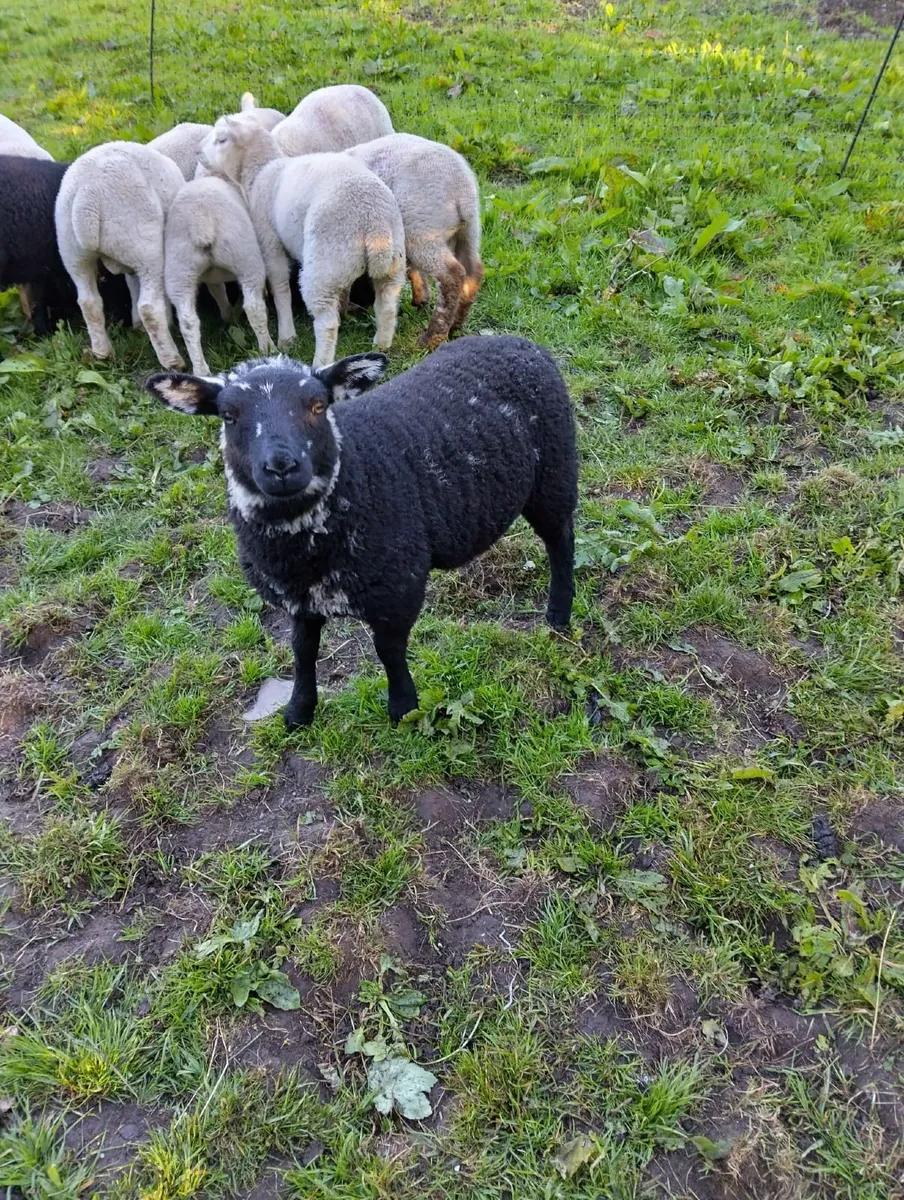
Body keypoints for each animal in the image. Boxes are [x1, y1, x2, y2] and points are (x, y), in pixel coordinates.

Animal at [55, 141, 186, 369]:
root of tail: (86, 197)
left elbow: (133, 284)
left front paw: (138, 325)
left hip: (73, 252)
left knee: (89, 302)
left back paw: (103, 353)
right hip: (144, 244)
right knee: (149, 307)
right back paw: (172, 360)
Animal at [145, 334, 578, 728]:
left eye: (318, 406)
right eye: (229, 415)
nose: (281, 466)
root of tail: (517, 341)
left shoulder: (397, 588)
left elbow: (389, 651)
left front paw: (403, 710)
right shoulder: (298, 602)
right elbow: (302, 651)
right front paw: (299, 712)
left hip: (554, 471)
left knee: (561, 539)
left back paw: (558, 614)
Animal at [164, 174, 274, 376]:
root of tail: (201, 221)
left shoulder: (211, 276)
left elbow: (218, 292)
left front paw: (227, 315)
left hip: (179, 271)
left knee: (188, 322)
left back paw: (201, 370)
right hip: (245, 256)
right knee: (254, 308)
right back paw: (268, 348)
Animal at [200, 114, 405, 368]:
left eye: (220, 140)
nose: (199, 153)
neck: (262, 171)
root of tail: (374, 224)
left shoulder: (269, 239)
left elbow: (280, 286)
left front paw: (286, 337)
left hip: (325, 263)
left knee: (327, 323)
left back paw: (320, 363)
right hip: (393, 261)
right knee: (387, 304)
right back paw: (381, 343)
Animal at [346, 133, 484, 349]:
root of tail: (460, 189)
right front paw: (421, 297)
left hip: (421, 228)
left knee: (451, 274)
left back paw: (432, 337)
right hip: (468, 232)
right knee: (473, 272)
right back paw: (455, 323)